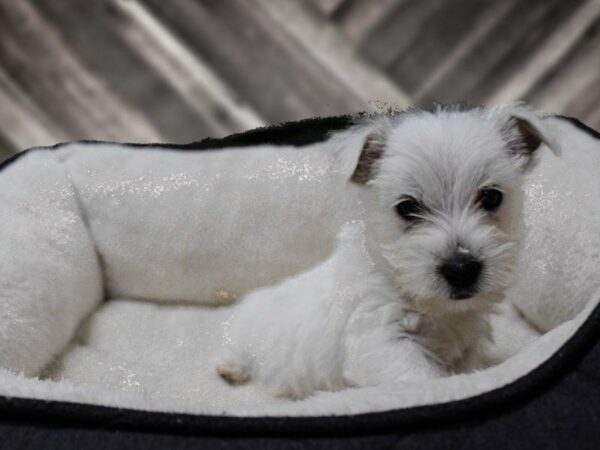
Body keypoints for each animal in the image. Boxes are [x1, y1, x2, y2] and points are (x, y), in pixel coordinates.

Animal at [214, 103, 556, 400]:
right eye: (407, 207)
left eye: (491, 197)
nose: (461, 269)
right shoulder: (380, 338)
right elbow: (423, 380)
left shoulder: (466, 342)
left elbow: (468, 368)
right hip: (246, 338)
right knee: (236, 352)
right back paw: (230, 369)